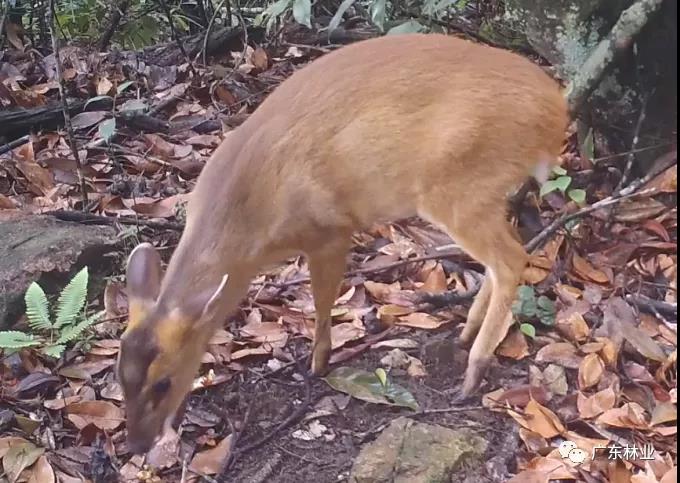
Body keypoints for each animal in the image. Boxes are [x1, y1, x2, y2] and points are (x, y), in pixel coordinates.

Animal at [117, 32, 568, 456]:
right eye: (121, 378)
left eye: (163, 382)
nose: (137, 444)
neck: (248, 218)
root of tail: (557, 111)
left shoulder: (329, 230)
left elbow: (322, 301)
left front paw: (318, 363)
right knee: (506, 251)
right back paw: (466, 333)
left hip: (457, 187)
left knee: (512, 257)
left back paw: (473, 372)